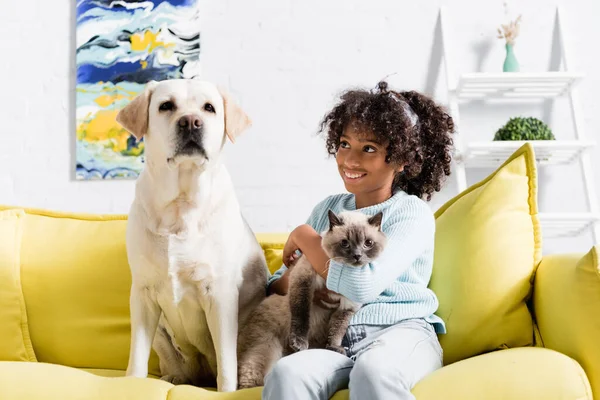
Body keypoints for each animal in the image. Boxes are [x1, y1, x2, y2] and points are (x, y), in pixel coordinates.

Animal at [115, 78, 268, 390]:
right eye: (166, 106)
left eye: (209, 108)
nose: (190, 122)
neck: (180, 205)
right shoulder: (143, 294)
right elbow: (136, 357)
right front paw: (133, 384)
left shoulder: (220, 294)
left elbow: (227, 362)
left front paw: (226, 391)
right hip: (161, 333)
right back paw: (174, 377)